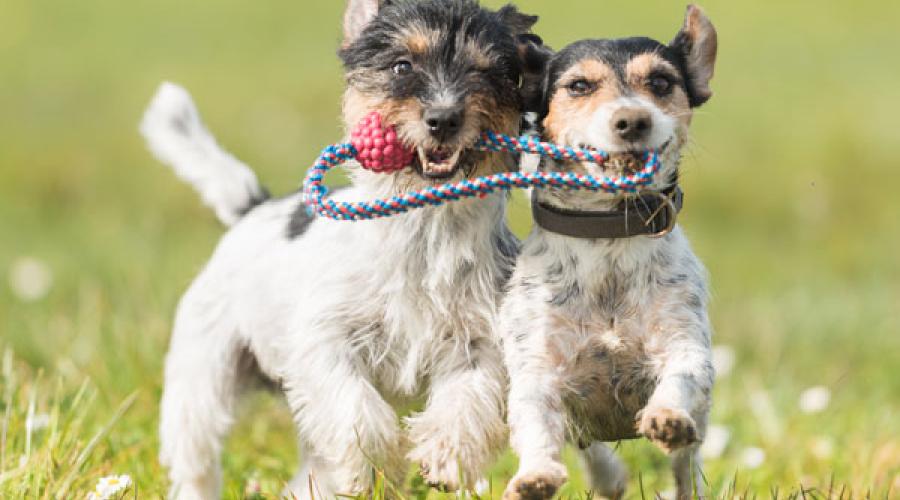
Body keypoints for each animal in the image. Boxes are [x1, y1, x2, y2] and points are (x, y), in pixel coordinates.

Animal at [139, 1, 548, 498]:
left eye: (488, 72)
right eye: (401, 66)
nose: (444, 118)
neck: (423, 230)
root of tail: (253, 208)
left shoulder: (479, 340)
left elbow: (468, 399)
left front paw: (444, 455)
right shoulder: (325, 340)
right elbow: (355, 409)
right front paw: (375, 468)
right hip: (203, 371)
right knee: (195, 453)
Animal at [500, 4, 716, 500]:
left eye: (661, 81)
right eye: (579, 85)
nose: (633, 120)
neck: (610, 236)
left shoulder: (684, 340)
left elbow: (682, 373)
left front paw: (667, 417)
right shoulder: (538, 367)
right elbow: (536, 422)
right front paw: (536, 475)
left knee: (685, 467)